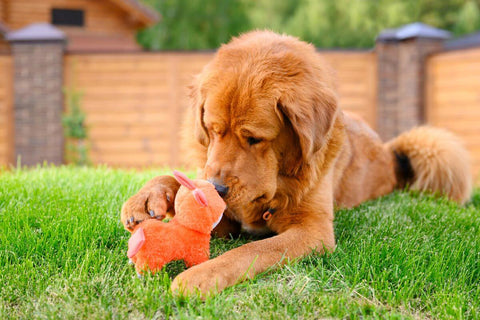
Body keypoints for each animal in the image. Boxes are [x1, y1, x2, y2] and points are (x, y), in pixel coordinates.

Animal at [121, 31, 472, 296]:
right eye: (213, 130)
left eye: (254, 138)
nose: (217, 190)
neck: (279, 181)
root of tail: (389, 151)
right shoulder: (227, 217)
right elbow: (180, 181)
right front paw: (149, 197)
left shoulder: (313, 231)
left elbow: (250, 251)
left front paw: (201, 275)